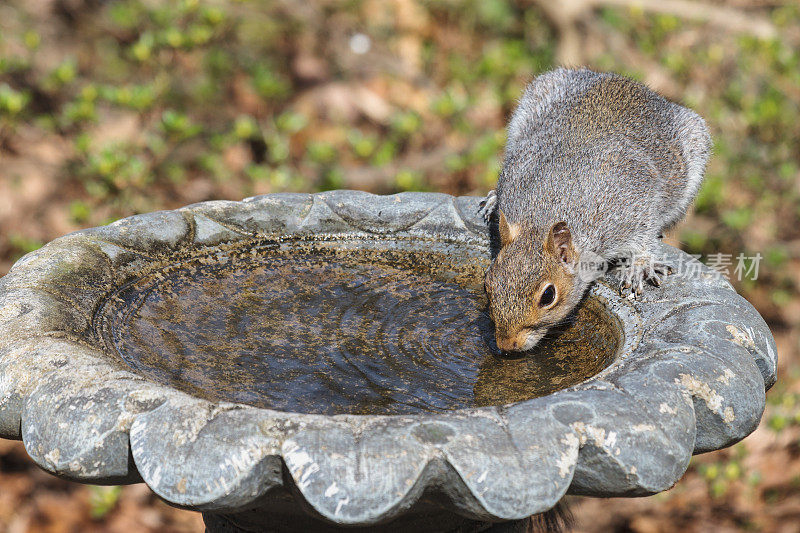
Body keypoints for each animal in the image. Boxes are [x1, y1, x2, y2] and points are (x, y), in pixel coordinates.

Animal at [478, 67, 708, 354]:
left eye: (548, 295)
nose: (507, 344)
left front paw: (639, 267)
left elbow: (644, 237)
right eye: (488, 283)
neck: (541, 217)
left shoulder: (633, 206)